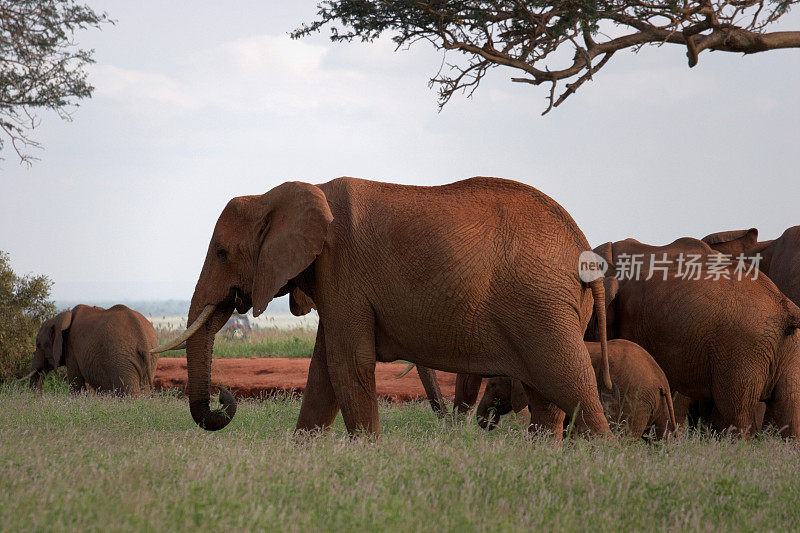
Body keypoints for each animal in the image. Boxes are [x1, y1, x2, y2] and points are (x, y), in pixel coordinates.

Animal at [29, 304, 159, 394]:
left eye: (38, 345)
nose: (38, 398)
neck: (60, 318)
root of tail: (142, 336)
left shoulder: (71, 349)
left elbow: (76, 383)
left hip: (122, 359)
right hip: (150, 358)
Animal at [158, 177, 620, 438]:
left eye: (221, 252)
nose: (222, 396)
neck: (276, 194)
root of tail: (585, 252)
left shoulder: (342, 269)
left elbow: (347, 364)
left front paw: (365, 454)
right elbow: (323, 370)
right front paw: (303, 455)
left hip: (542, 304)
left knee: (571, 385)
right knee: (549, 400)